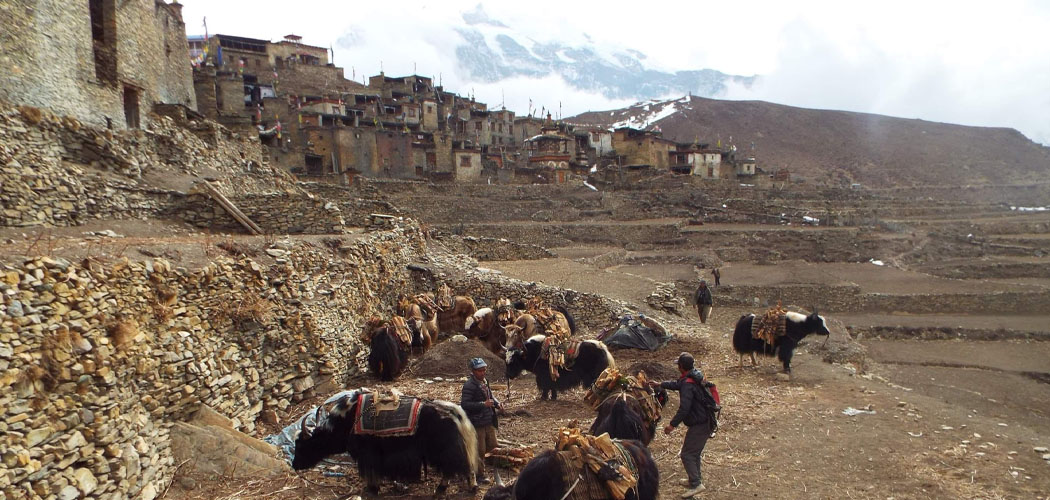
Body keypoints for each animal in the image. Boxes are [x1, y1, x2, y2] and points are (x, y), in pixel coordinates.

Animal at [292, 390, 479, 496]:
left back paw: (447, 488)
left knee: (454, 467)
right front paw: (395, 485)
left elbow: (372, 472)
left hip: (441, 449)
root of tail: (452, 411)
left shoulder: (368, 453)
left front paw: (372, 489)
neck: (346, 421)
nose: (295, 465)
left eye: (301, 446)